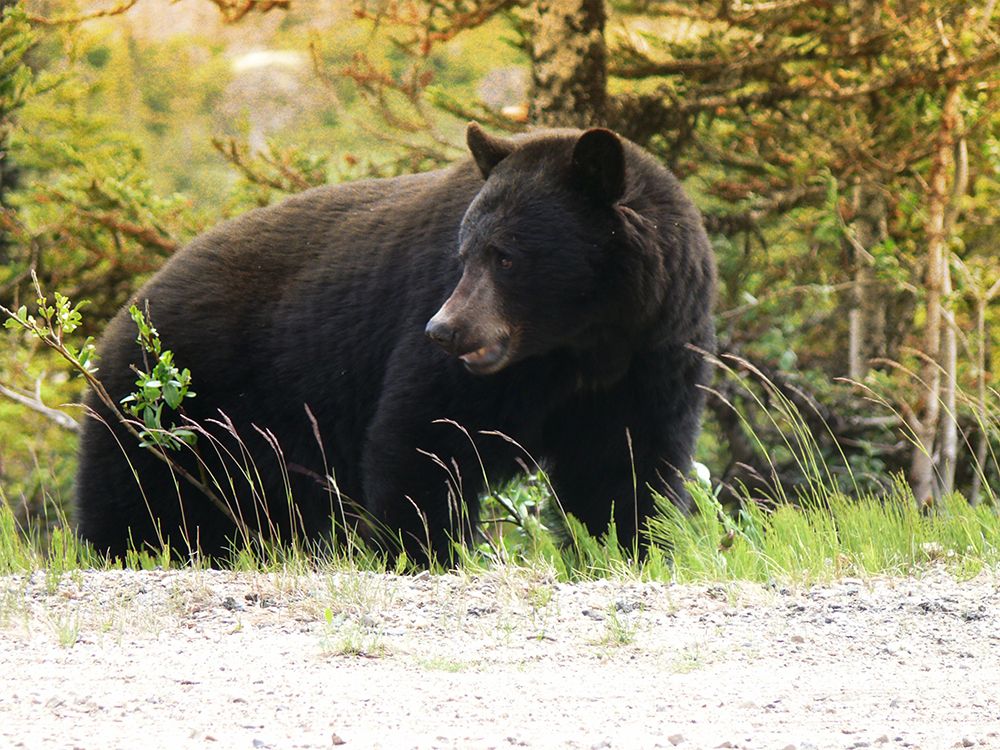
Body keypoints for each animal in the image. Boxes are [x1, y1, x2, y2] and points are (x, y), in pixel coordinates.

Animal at [75, 123, 716, 563]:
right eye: (464, 254)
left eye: (506, 256)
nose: (445, 330)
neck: (581, 345)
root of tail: (125, 312)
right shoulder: (457, 363)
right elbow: (423, 440)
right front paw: (425, 551)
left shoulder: (653, 357)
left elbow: (625, 467)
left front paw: (630, 548)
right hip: (168, 407)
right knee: (137, 498)